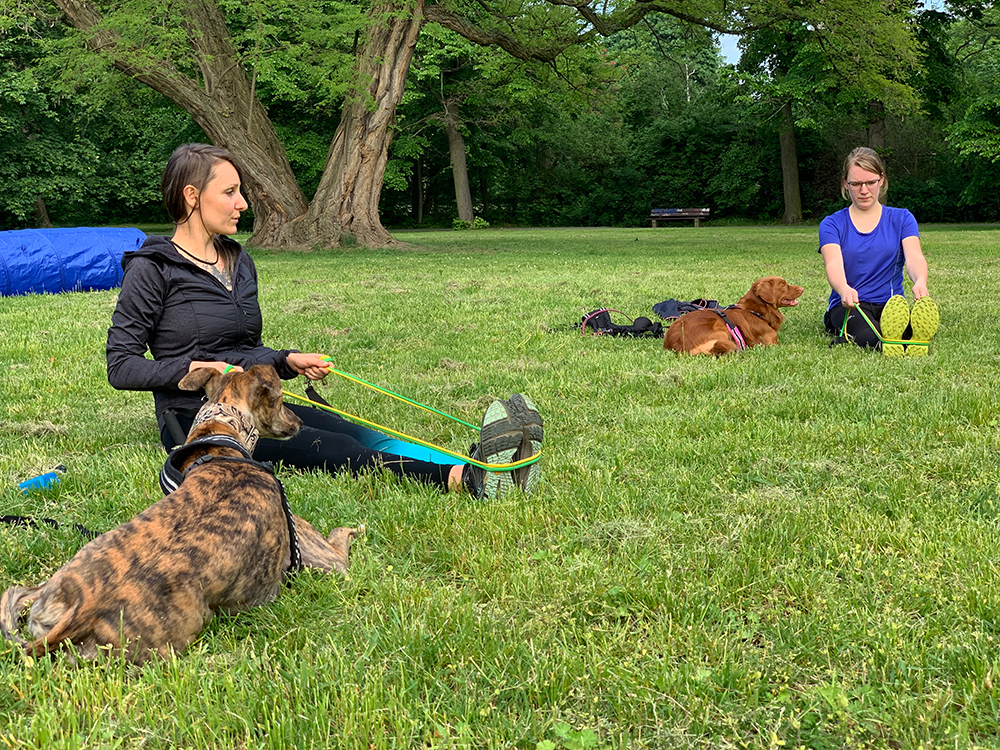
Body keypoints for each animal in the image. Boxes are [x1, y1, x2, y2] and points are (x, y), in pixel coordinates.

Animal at [2, 364, 364, 664]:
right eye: (277, 400)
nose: (299, 422)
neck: (220, 442)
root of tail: (80, 611)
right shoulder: (323, 558)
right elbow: (340, 541)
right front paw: (354, 529)